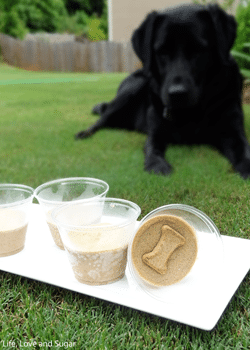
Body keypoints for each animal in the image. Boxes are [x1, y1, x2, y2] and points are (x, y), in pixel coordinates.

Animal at [74, 4, 250, 180]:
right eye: (162, 52)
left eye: (198, 50)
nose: (177, 94)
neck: (191, 113)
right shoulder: (155, 133)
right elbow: (152, 148)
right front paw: (157, 165)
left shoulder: (232, 131)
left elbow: (243, 150)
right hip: (131, 90)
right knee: (101, 120)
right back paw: (84, 133)